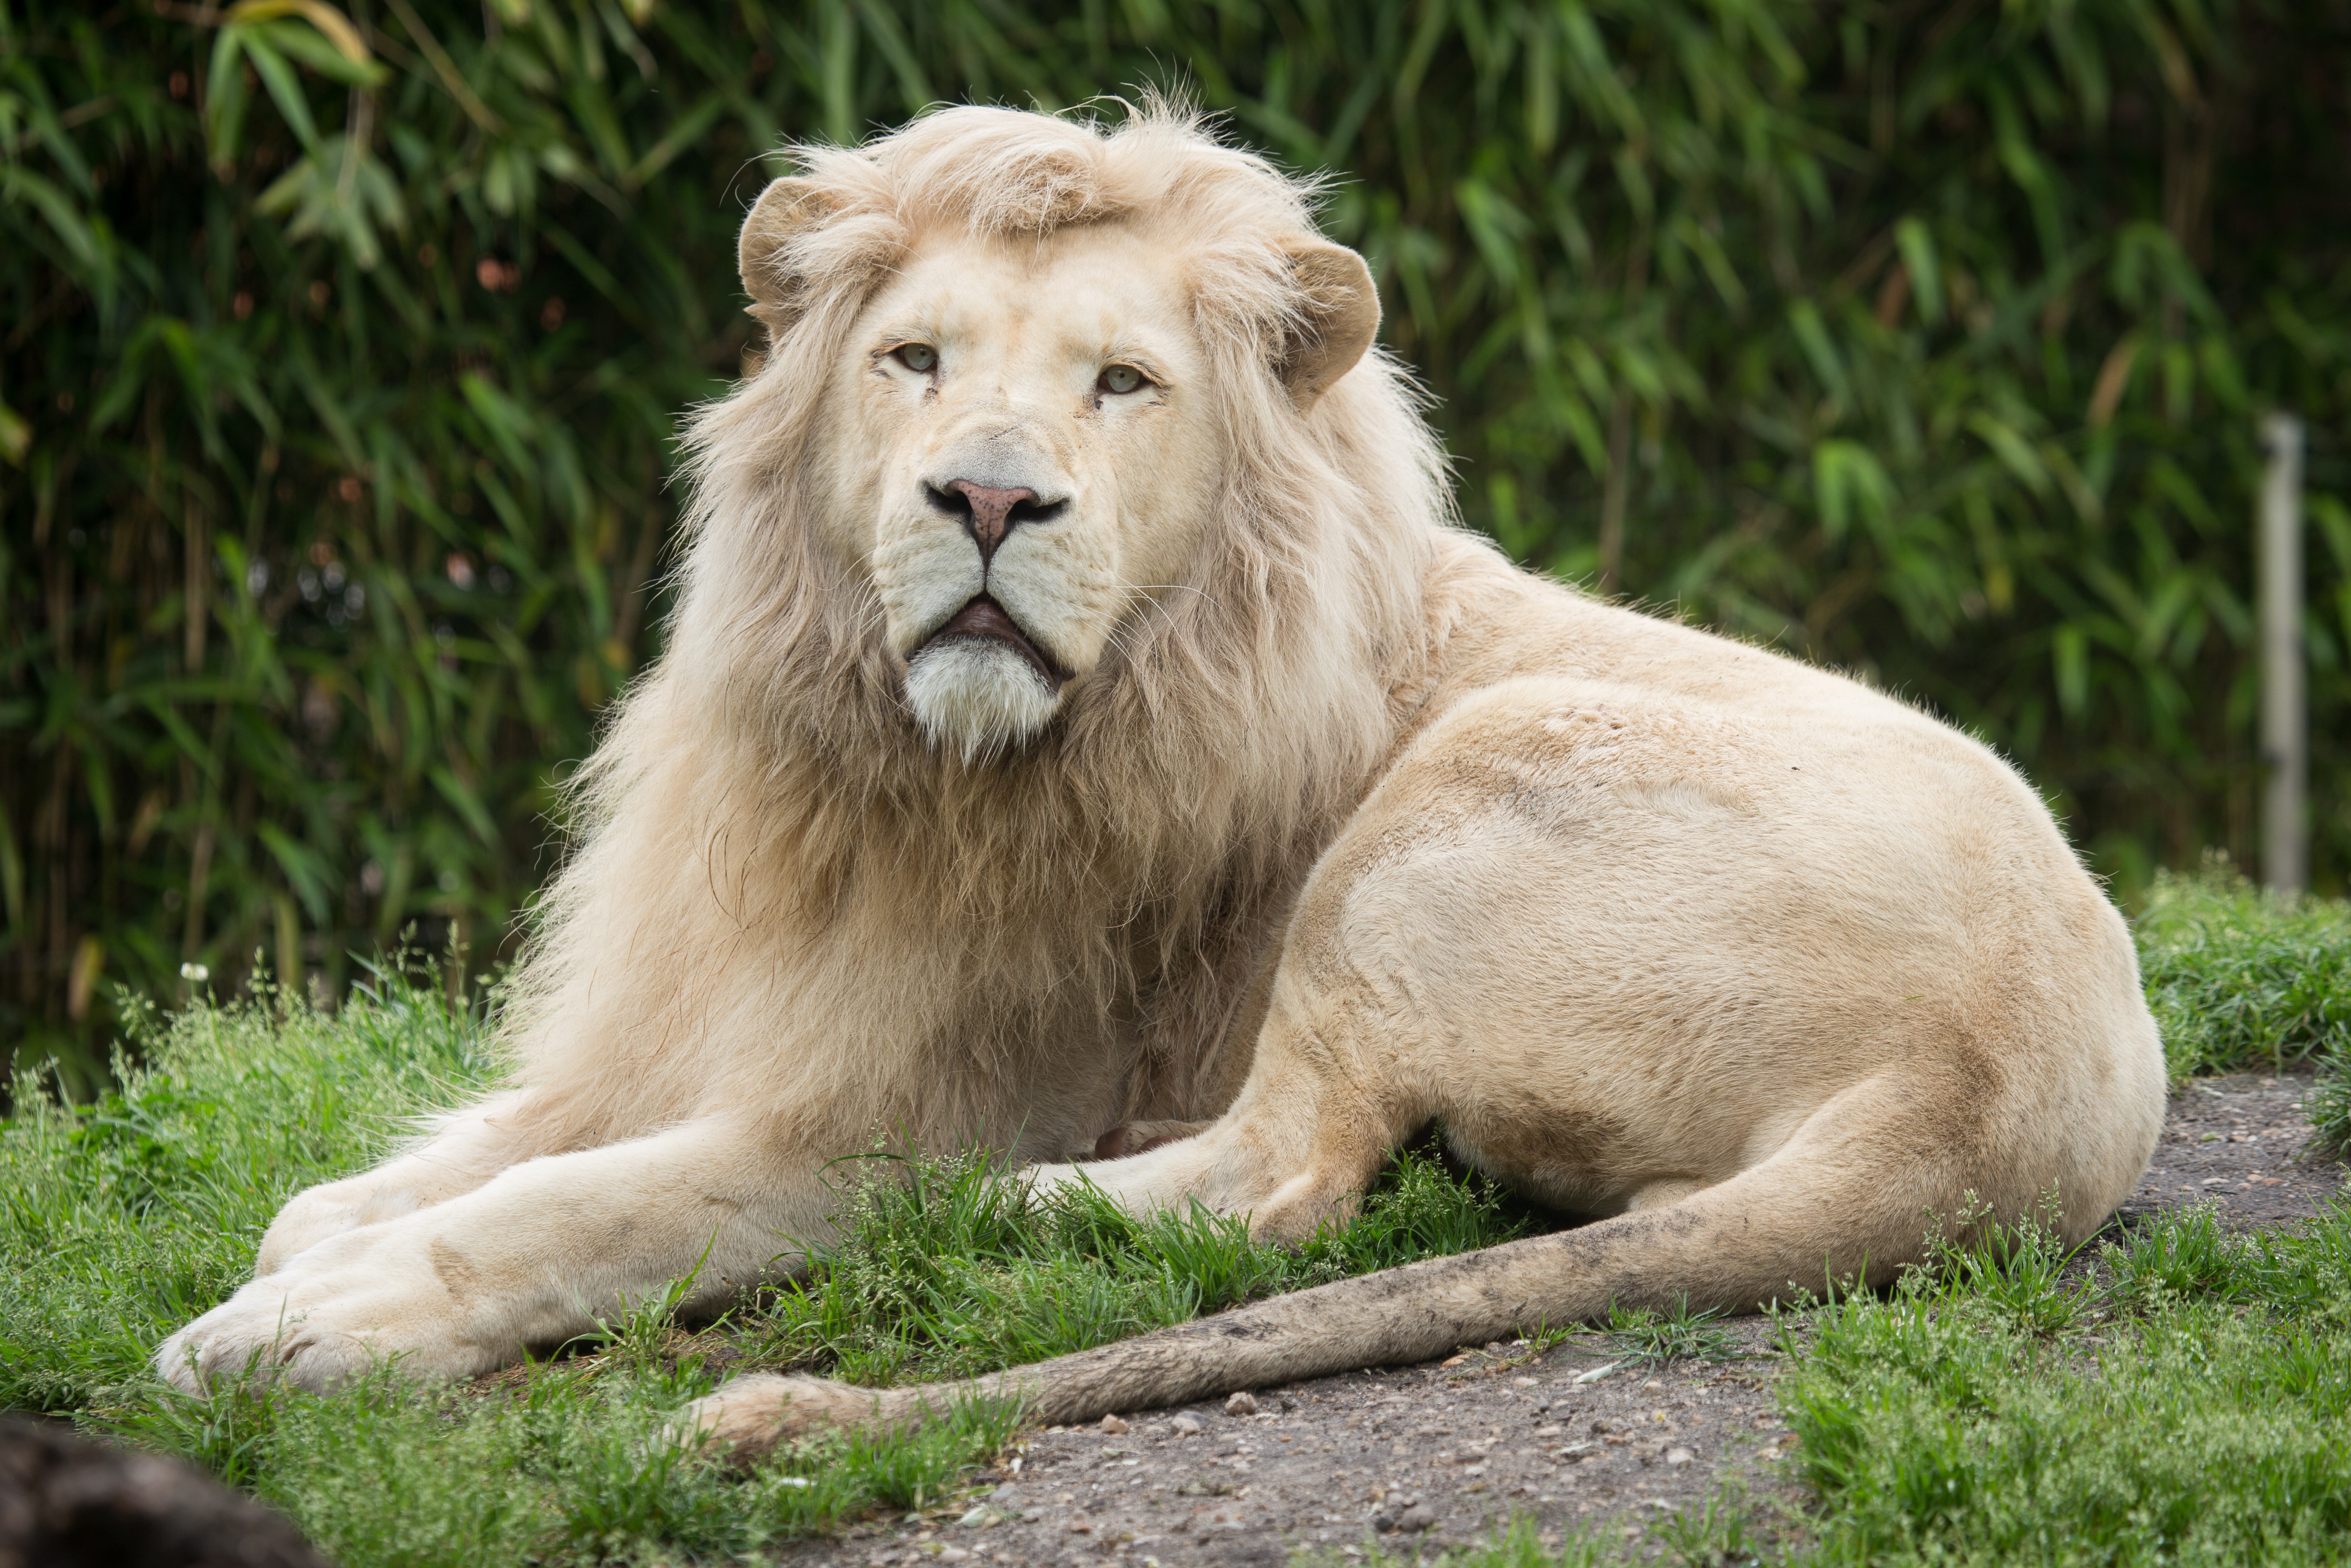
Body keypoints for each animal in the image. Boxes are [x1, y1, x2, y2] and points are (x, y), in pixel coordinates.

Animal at [157, 104, 2165, 1453]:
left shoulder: (886, 1101)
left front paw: (303, 1326)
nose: (986, 496)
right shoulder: (688, 1015)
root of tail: (1990, 1104)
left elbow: (571, 1208)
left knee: (1278, 1182)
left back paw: (1003, 1209)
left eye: (1119, 384)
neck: (884, 764)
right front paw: (311, 1246)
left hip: (1466, 780)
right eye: (912, 360)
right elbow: (415, 1168)